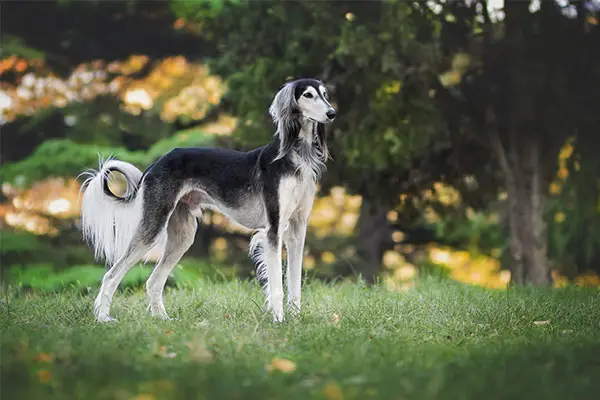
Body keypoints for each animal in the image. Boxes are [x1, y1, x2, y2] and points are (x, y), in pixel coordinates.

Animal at [78, 78, 338, 322]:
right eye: (307, 95)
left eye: (325, 94)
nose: (332, 113)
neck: (295, 156)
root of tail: (157, 163)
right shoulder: (274, 229)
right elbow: (277, 286)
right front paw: (278, 320)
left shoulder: (297, 229)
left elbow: (295, 283)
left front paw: (295, 319)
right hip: (153, 226)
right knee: (111, 275)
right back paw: (103, 318)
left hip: (183, 235)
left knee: (153, 281)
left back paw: (163, 319)